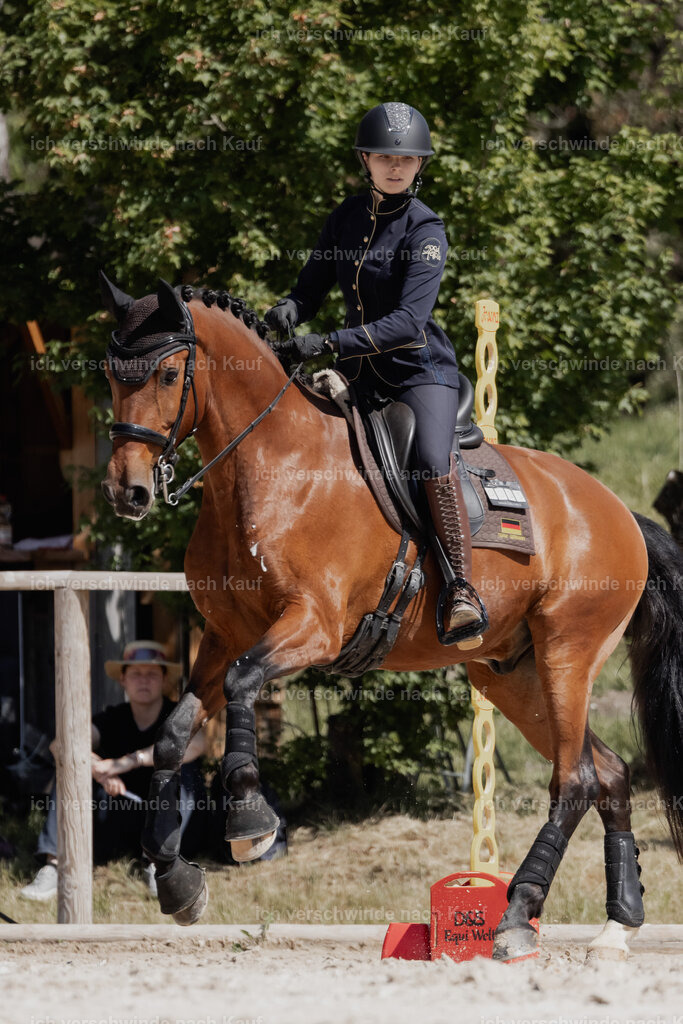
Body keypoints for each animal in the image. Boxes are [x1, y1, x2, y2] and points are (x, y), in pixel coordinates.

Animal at [100, 274, 683, 961]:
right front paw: (176, 881)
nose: (127, 492)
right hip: (513, 677)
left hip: (568, 654)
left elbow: (244, 681)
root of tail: (621, 513)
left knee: (576, 782)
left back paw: (517, 915)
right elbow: (172, 733)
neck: (271, 465)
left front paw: (249, 820)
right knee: (611, 775)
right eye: (110, 373)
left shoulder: (314, 628)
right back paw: (619, 924)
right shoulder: (223, 635)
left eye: (168, 374)